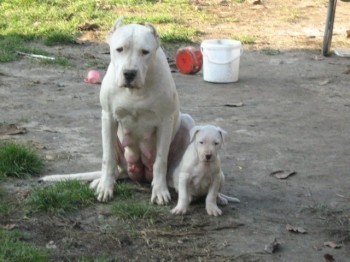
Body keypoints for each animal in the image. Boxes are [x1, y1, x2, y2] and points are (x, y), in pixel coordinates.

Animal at [41, 18, 194, 207]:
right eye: (119, 49)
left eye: (145, 52)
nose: (129, 73)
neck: (135, 92)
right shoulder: (108, 118)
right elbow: (107, 158)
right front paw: (106, 188)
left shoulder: (165, 122)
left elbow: (160, 161)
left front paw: (159, 191)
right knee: (114, 165)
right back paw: (101, 181)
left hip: (187, 122)